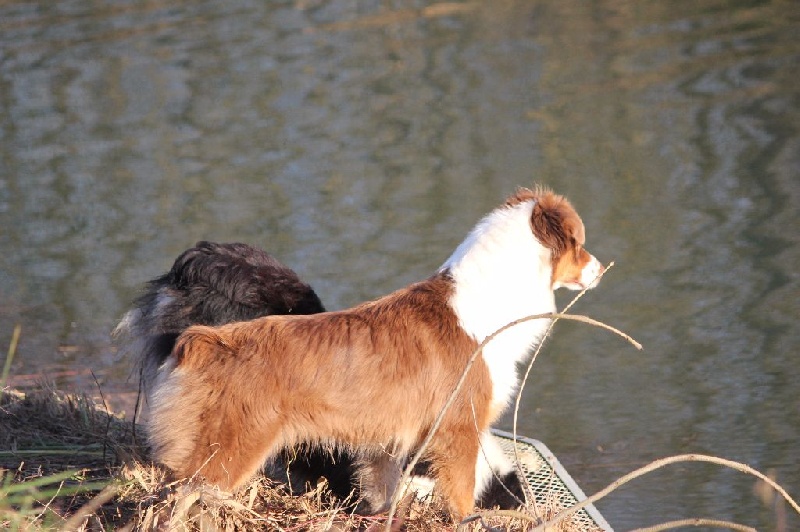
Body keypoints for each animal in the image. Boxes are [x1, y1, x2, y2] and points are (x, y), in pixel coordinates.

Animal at [147, 187, 604, 520]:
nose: (601, 269)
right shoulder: (459, 432)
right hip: (226, 455)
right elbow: (461, 501)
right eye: (579, 243)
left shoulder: (387, 446)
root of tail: (208, 341)